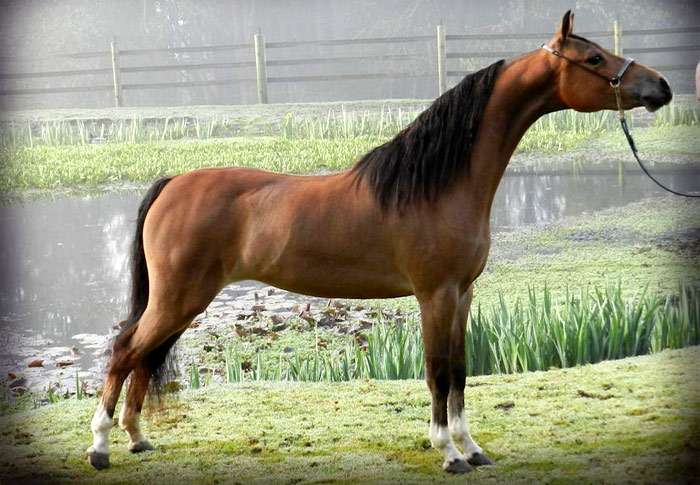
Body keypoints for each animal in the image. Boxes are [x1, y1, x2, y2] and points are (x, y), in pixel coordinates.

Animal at [87, 10, 672, 473]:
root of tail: (172, 183)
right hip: (179, 297)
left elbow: (461, 371)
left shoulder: (463, 295)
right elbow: (437, 373)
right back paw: (100, 446)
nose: (660, 87)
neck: (438, 183)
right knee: (124, 350)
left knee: (144, 355)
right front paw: (449, 453)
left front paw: (472, 447)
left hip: (184, 302)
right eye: (594, 57)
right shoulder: (435, 295)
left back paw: (138, 440)